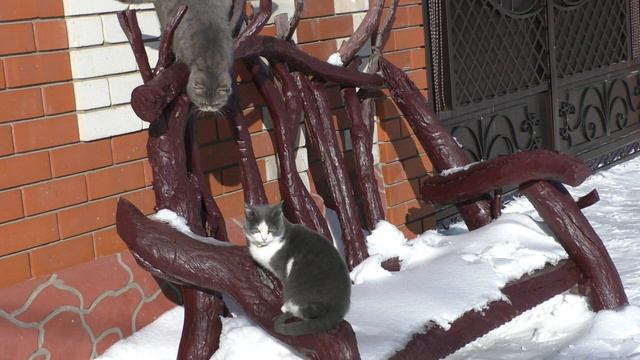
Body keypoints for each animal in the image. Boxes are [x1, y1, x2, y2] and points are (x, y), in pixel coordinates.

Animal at [242, 202, 350, 334]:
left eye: (270, 230)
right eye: (257, 230)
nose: (264, 238)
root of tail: (338, 310)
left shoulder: (283, 269)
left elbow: (284, 283)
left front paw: (284, 305)